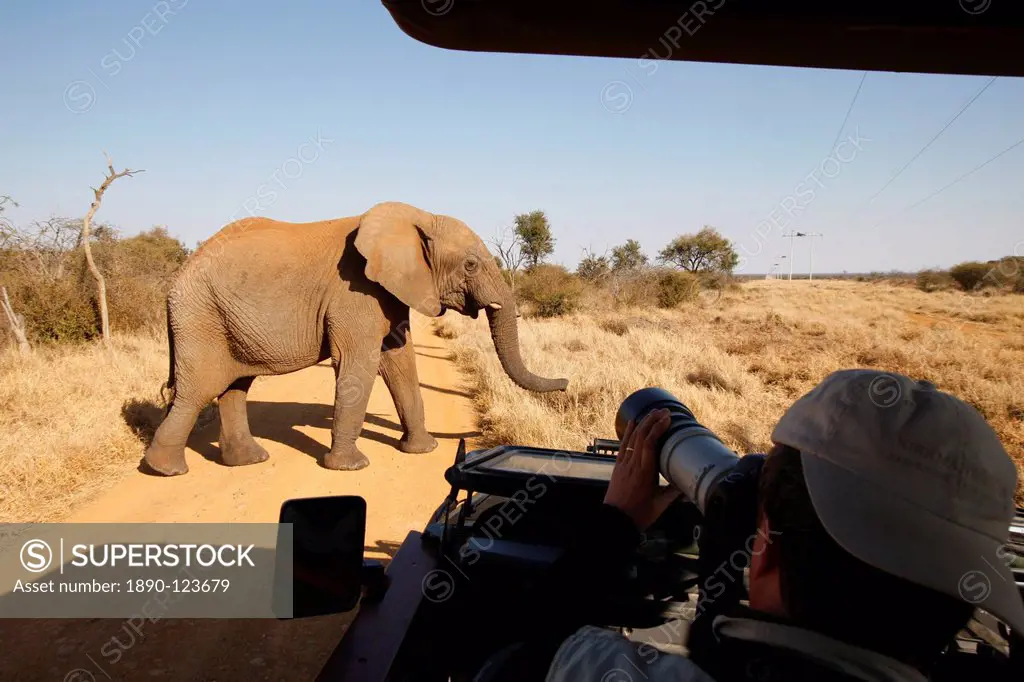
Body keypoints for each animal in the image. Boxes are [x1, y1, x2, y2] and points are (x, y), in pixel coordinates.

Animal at [143, 201, 569, 473]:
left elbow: (400, 363)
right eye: (470, 265)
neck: (418, 218)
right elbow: (358, 364)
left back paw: (248, 461)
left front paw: (421, 451)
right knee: (199, 389)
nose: (566, 384)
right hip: (199, 316)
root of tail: (177, 276)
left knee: (235, 386)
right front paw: (350, 468)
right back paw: (165, 470)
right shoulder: (355, 292)